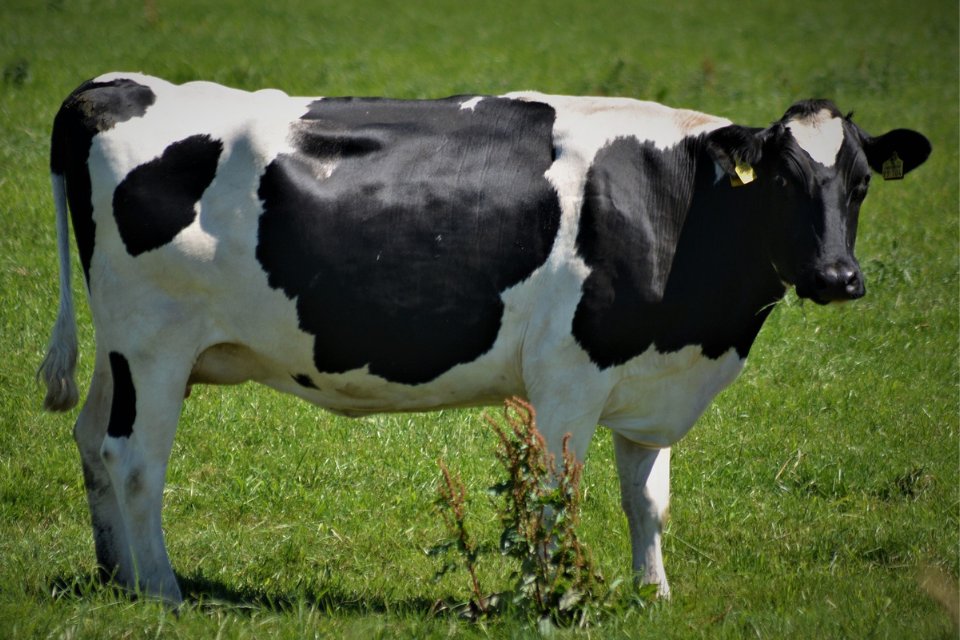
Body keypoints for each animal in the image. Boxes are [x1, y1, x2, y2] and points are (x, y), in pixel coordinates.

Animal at [38, 72, 931, 605]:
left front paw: (654, 598)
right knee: (134, 456)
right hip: (151, 345)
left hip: (125, 353)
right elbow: (557, 496)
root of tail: (114, 87)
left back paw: (116, 576)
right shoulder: (568, 375)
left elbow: (649, 501)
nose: (838, 276)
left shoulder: (649, 375)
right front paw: (558, 594)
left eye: (858, 185)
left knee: (90, 438)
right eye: (781, 179)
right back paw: (161, 590)